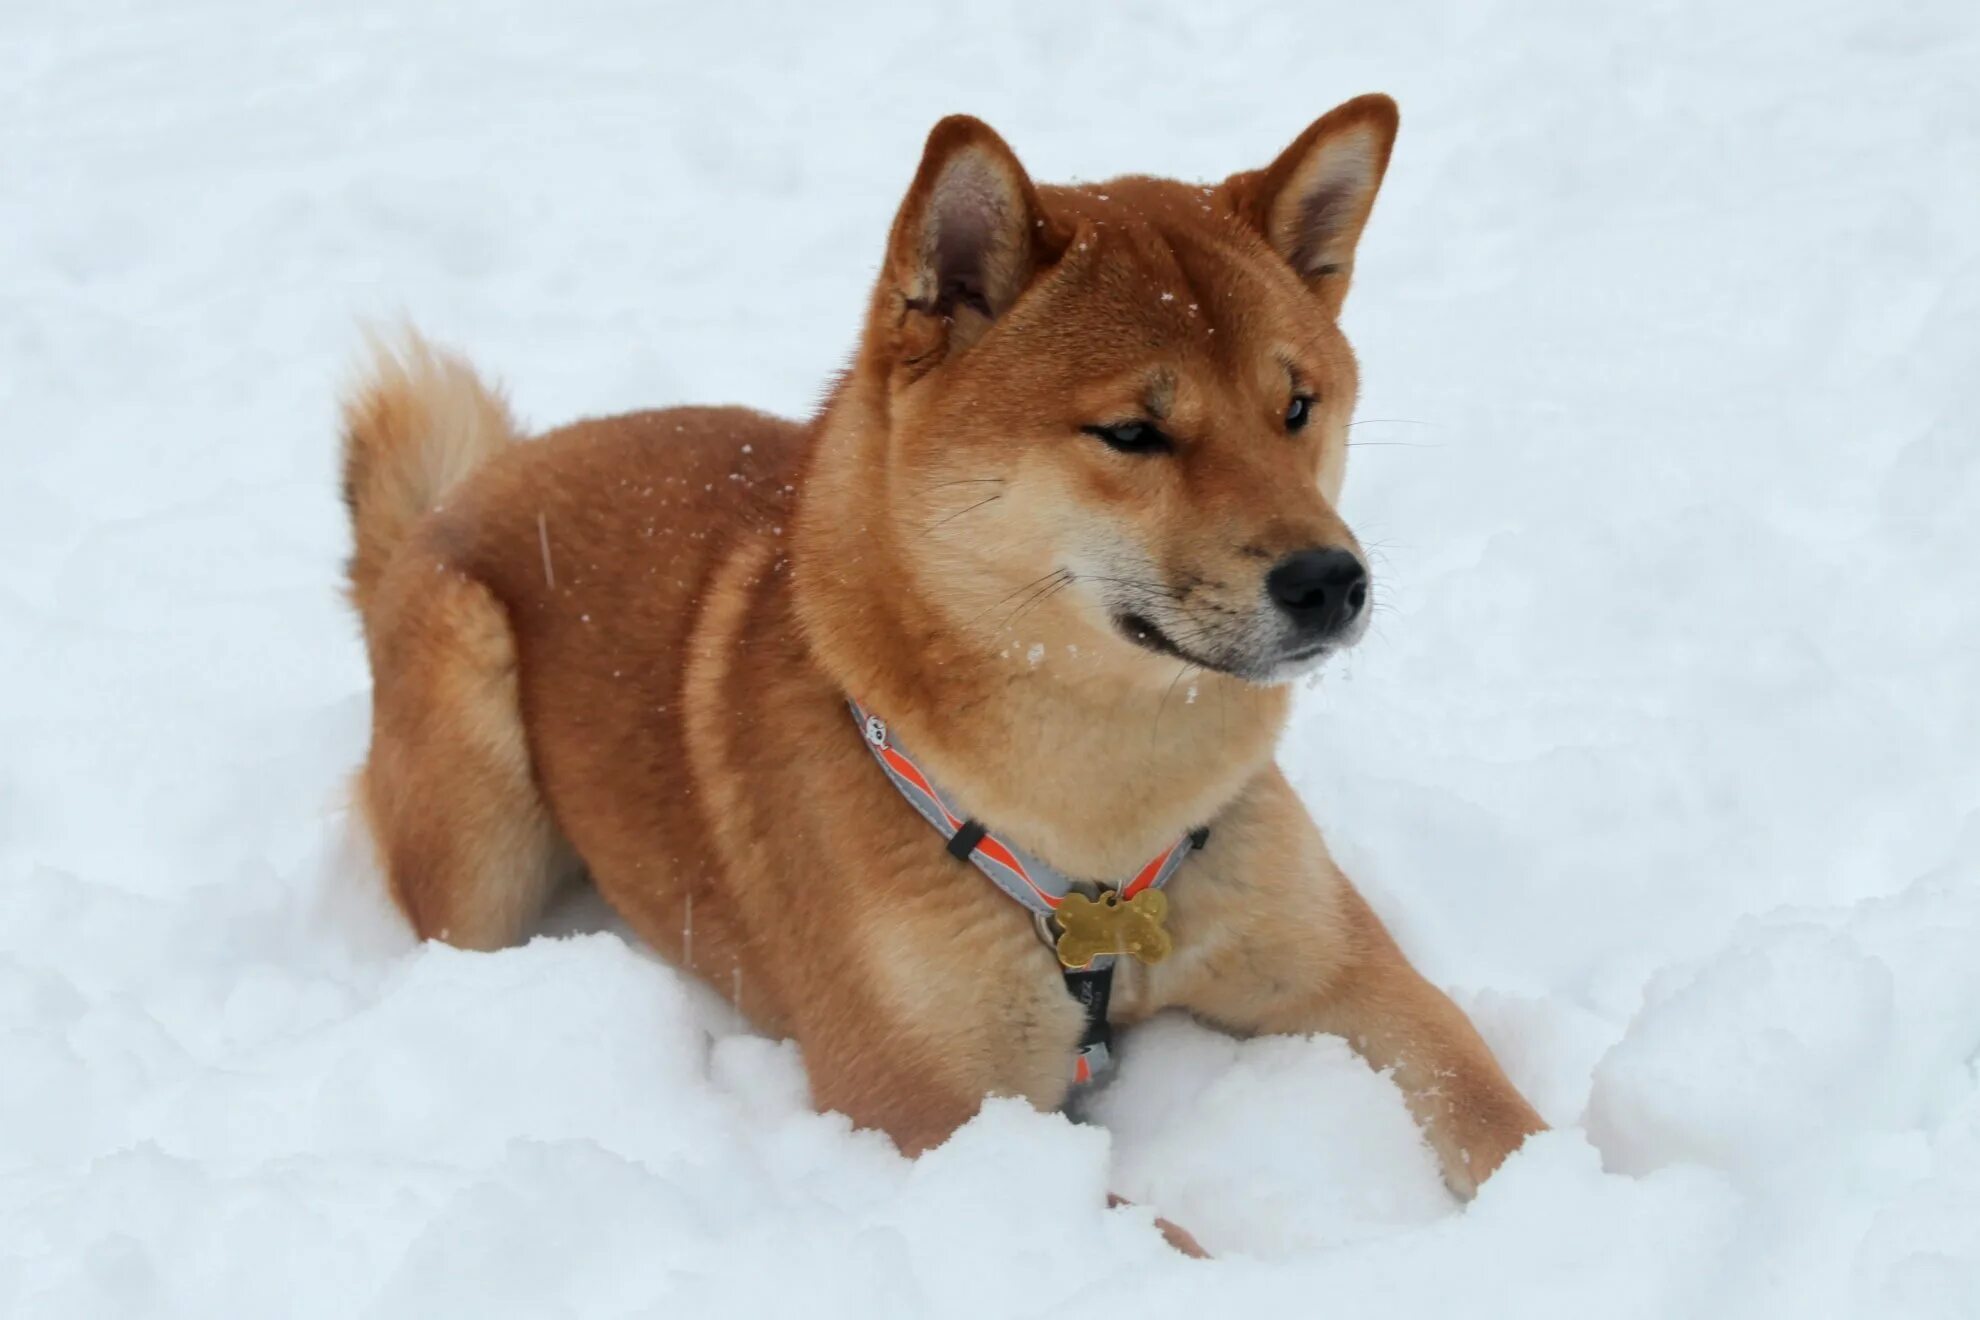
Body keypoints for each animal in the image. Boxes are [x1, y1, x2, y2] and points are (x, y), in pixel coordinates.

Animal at [340, 93, 1544, 1242]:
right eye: (1131, 433)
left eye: (1296, 408)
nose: (1332, 580)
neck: (1108, 822)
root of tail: (458, 497)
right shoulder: (929, 1110)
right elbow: (1163, 1244)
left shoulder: (1343, 969)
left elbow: (1488, 1103)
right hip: (476, 779)